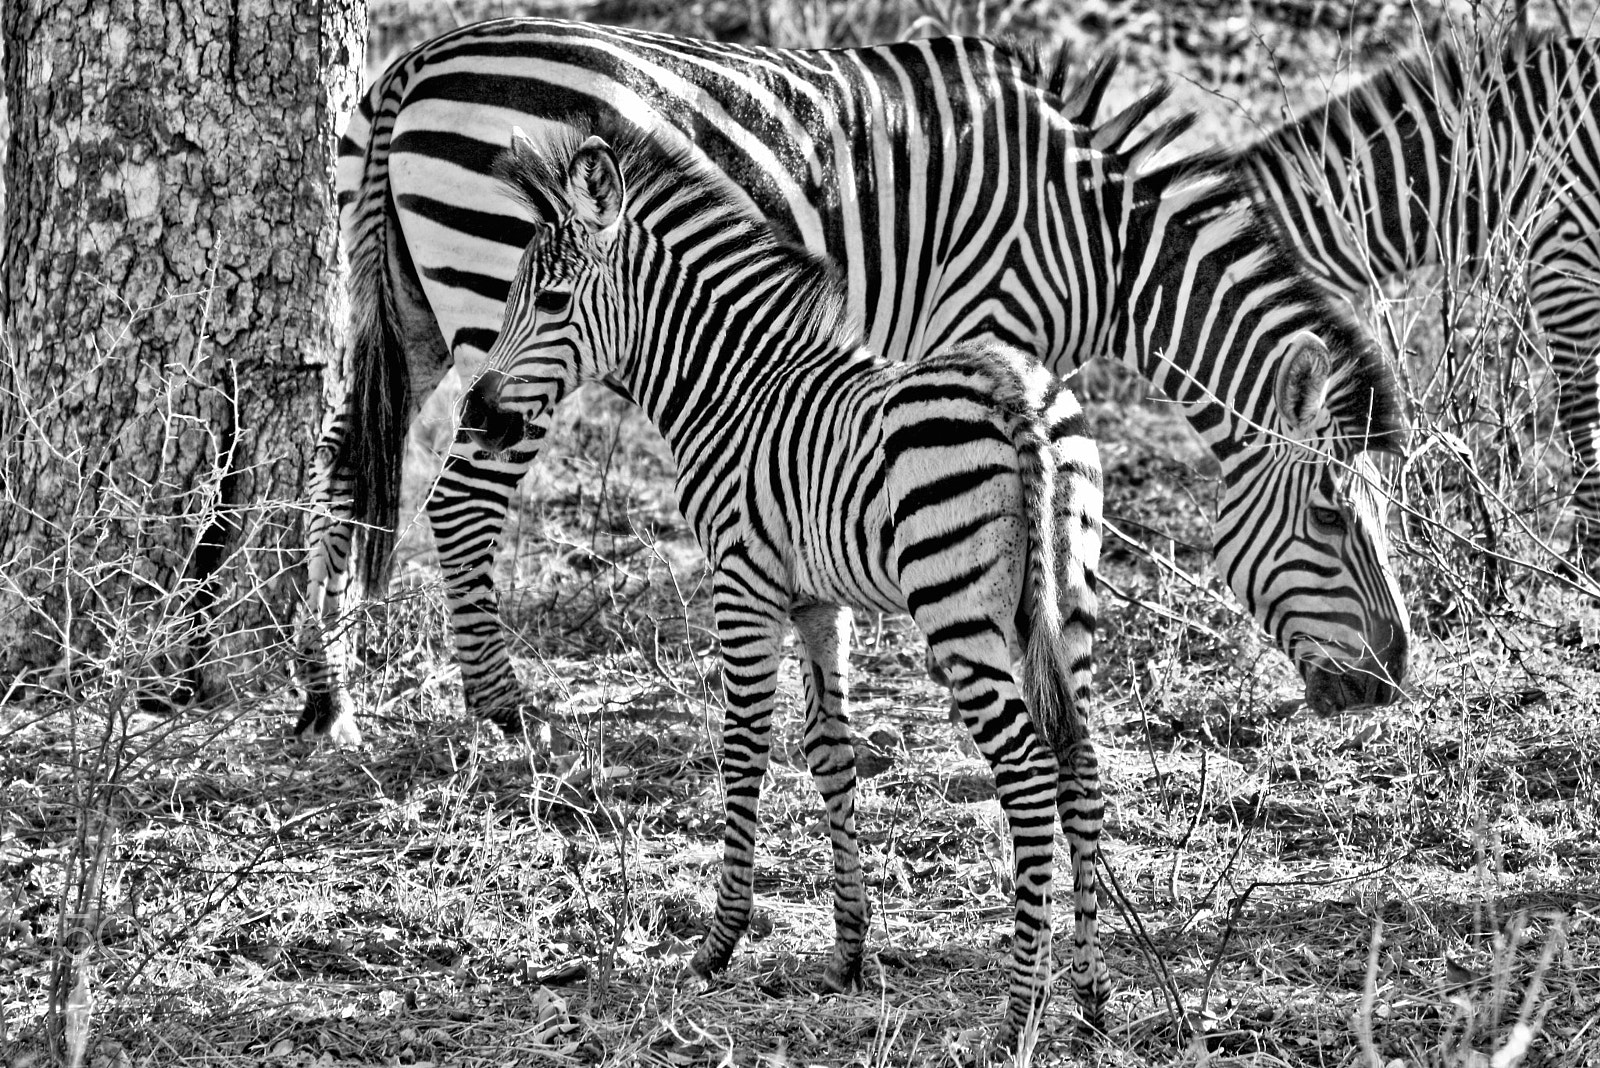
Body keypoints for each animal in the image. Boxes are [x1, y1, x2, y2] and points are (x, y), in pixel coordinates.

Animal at [298, 19, 1412, 744]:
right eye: (1330, 517)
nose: (1395, 680)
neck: (1099, 243)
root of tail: (415, 62)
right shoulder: (985, 323)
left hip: (400, 308)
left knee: (336, 479)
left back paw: (329, 697)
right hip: (497, 306)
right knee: (461, 501)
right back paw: (502, 708)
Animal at [461, 121, 1109, 1045]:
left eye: (548, 304)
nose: (476, 415)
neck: (731, 390)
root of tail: (1012, 385)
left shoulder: (744, 582)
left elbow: (742, 748)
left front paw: (718, 944)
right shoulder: (816, 602)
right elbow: (831, 752)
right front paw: (847, 952)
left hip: (957, 609)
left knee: (1025, 769)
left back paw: (1021, 1011)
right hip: (1069, 601)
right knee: (1080, 758)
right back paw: (1087, 997)